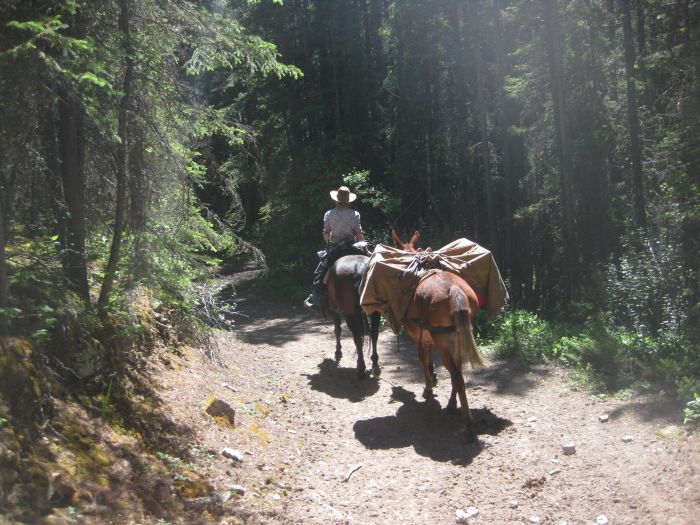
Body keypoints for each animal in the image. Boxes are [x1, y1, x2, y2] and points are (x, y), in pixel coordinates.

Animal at [388, 229, 486, 438]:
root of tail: (454, 289)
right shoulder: (428, 336)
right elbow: (429, 358)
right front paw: (433, 378)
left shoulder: (417, 335)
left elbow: (422, 358)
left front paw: (429, 387)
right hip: (456, 339)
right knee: (458, 374)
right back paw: (452, 406)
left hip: (444, 343)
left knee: (457, 376)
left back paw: (468, 426)